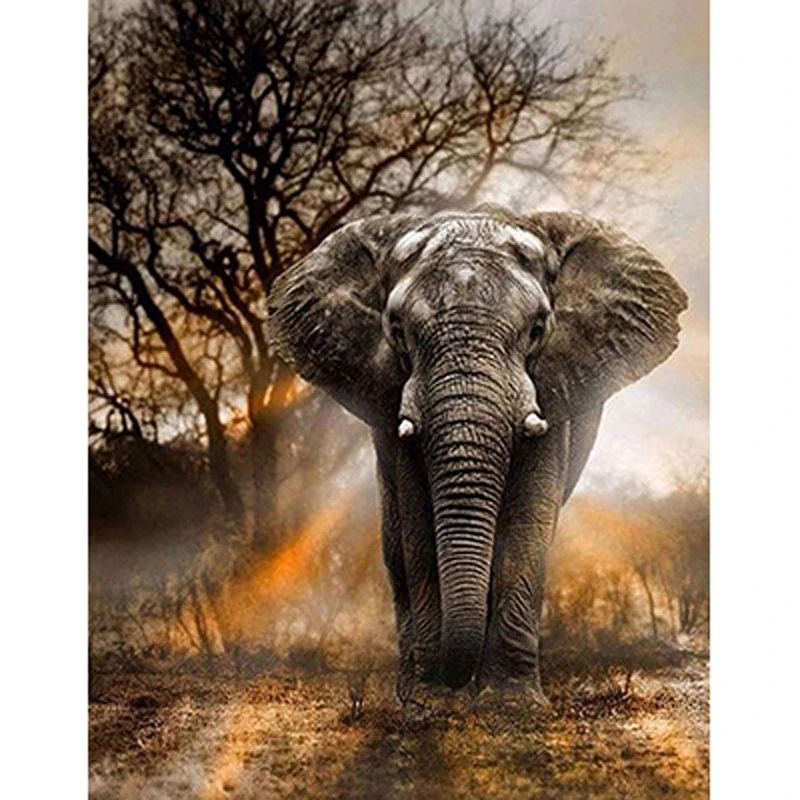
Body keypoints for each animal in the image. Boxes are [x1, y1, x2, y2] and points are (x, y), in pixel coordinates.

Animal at [267, 204, 687, 706]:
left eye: (537, 330)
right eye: (398, 331)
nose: (453, 681)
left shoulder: (552, 388)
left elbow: (527, 522)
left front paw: (511, 705)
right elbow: (418, 526)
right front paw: (432, 703)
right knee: (395, 546)